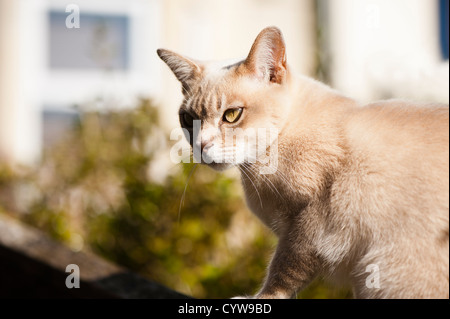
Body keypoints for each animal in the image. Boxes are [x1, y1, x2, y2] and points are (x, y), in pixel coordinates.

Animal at [156, 26, 448, 298]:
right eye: (188, 119)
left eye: (231, 115)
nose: (201, 145)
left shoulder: (309, 222)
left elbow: (282, 271)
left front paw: (259, 297)